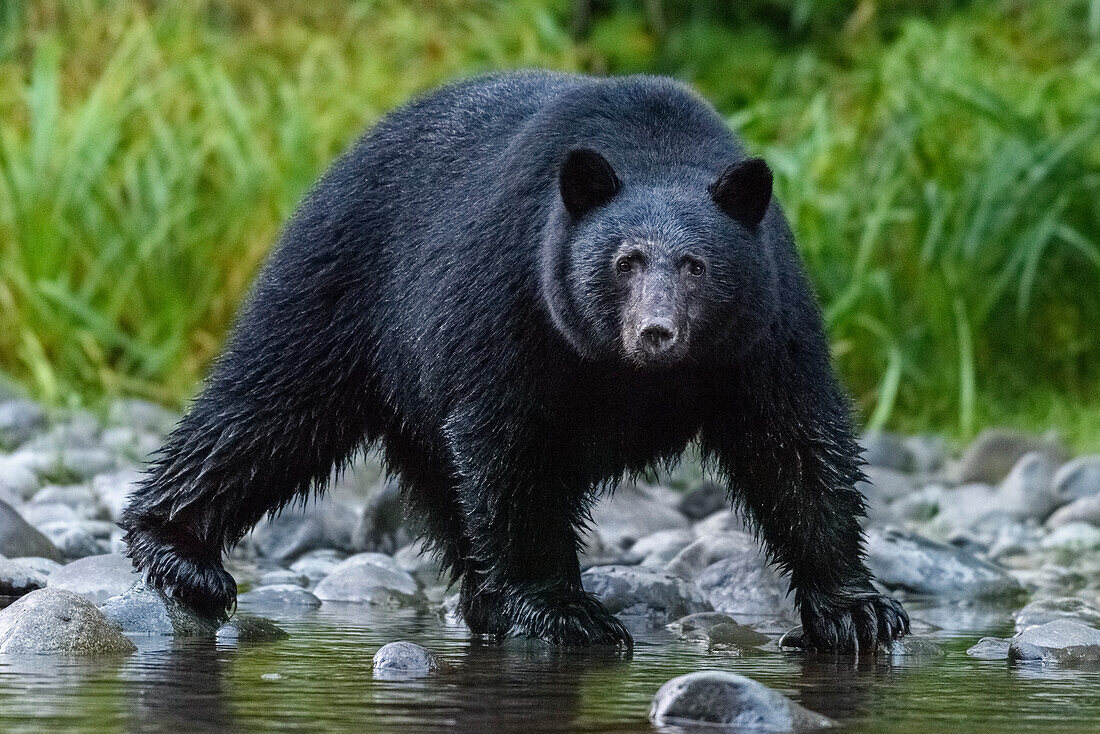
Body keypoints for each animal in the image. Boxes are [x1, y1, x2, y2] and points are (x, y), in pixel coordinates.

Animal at [122, 71, 910, 651]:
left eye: (696, 266)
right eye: (625, 261)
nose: (656, 333)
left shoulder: (764, 328)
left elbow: (795, 447)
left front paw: (857, 610)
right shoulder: (514, 299)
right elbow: (512, 446)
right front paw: (564, 610)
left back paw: (483, 600)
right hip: (340, 282)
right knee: (265, 408)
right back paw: (179, 552)